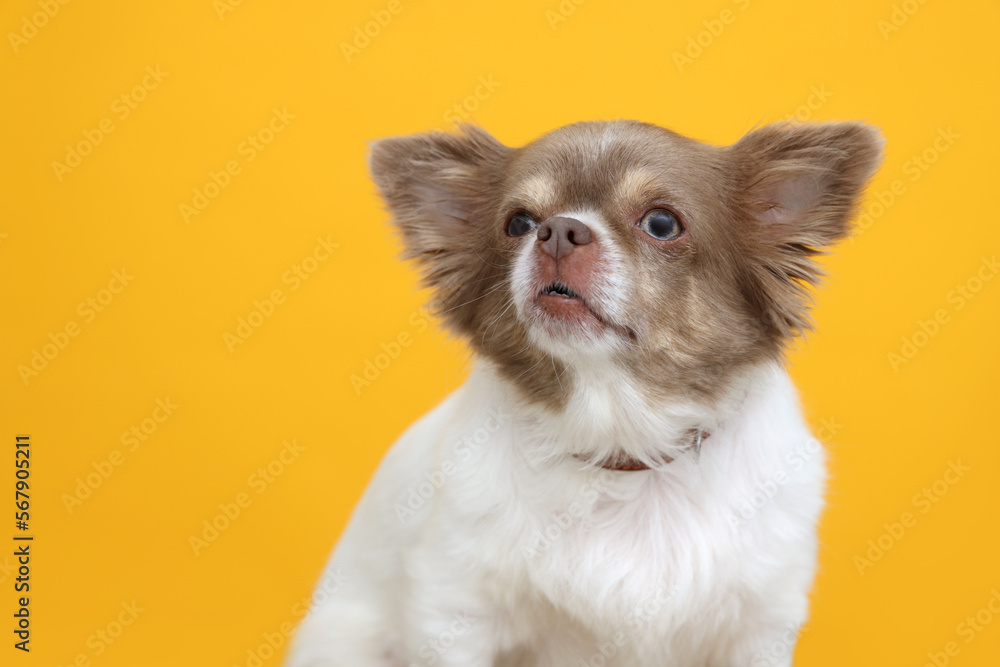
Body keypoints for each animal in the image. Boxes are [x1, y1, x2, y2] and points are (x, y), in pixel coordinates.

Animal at [286, 117, 880, 664]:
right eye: (518, 223)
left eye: (662, 223)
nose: (557, 231)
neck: (620, 444)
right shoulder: (454, 612)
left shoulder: (758, 627)